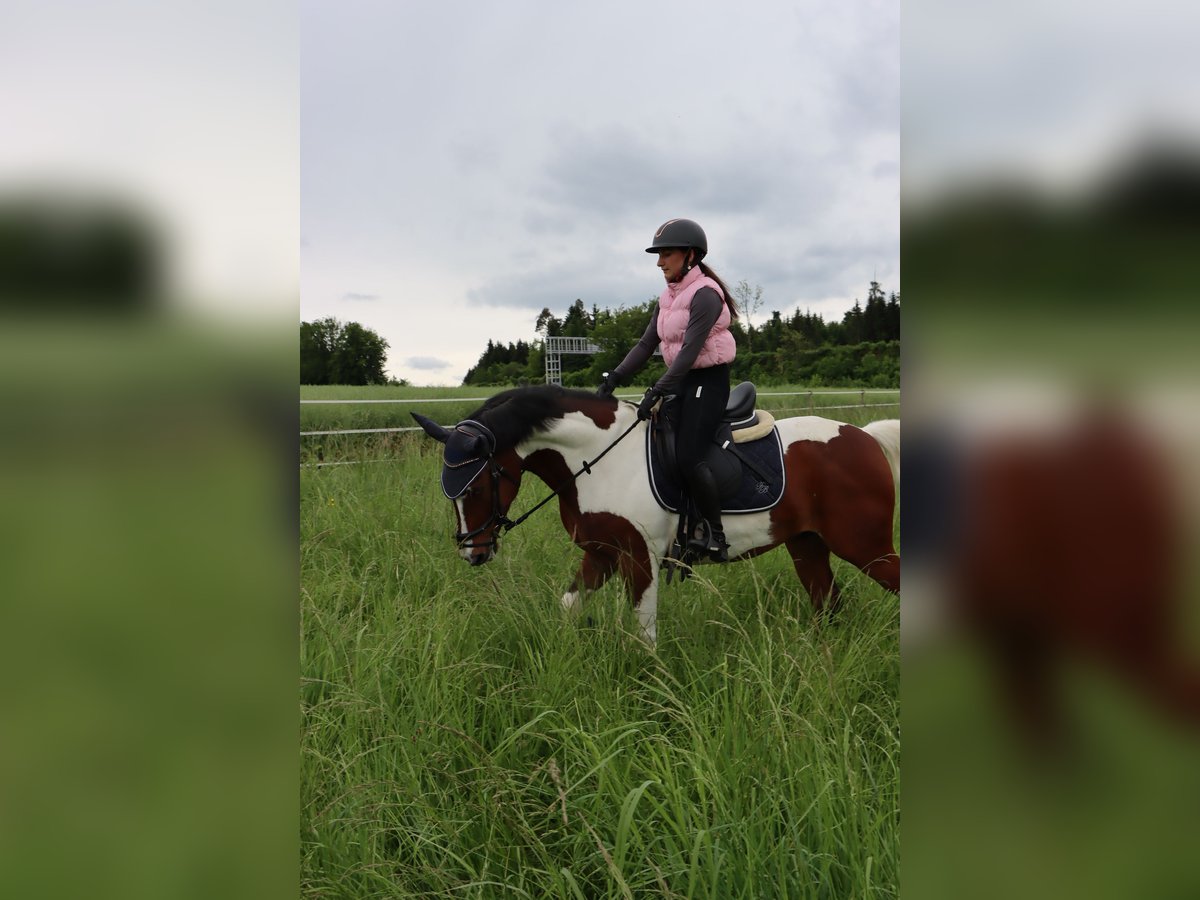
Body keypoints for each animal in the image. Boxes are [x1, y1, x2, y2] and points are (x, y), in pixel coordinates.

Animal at [412, 384, 902, 643]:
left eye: (477, 485)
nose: (473, 552)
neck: (599, 458)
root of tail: (864, 437)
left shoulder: (638, 557)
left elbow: (644, 630)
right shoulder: (601, 553)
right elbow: (569, 606)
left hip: (864, 546)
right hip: (808, 545)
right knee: (828, 604)